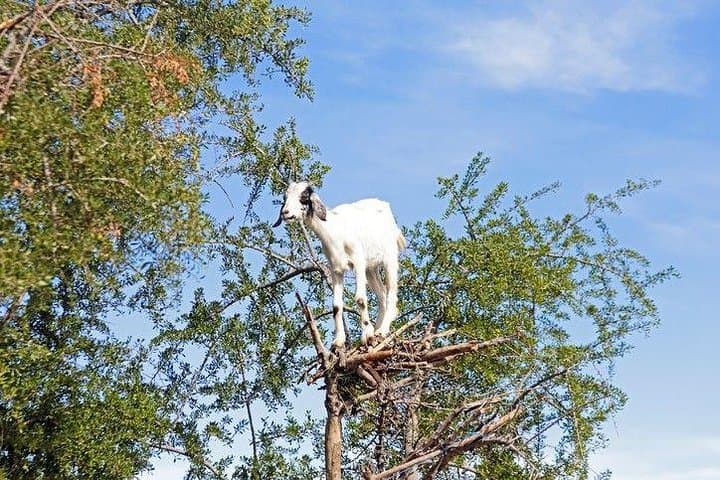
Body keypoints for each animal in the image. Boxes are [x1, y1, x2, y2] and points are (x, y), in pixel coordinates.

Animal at [273, 181, 405, 347]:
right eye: (285, 197)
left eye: (303, 196)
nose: (285, 213)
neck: (335, 231)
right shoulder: (336, 269)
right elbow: (336, 306)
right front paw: (338, 341)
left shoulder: (358, 262)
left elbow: (360, 299)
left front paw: (366, 335)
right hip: (371, 268)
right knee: (381, 294)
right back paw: (377, 330)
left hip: (389, 257)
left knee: (391, 295)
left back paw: (382, 330)